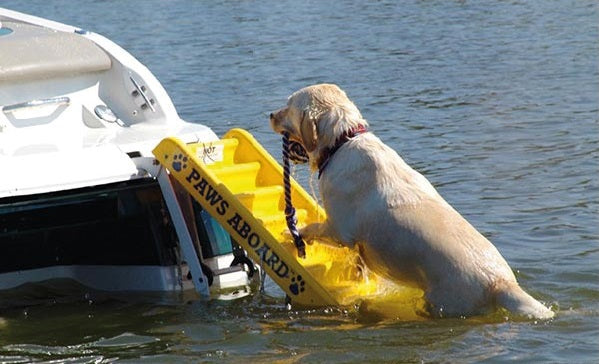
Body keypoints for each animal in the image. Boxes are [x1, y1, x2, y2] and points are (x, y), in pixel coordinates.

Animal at [270, 83, 556, 318]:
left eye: (289, 105)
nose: (270, 115)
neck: (344, 140)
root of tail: (500, 283)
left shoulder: (341, 230)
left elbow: (313, 228)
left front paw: (292, 233)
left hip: (445, 302)